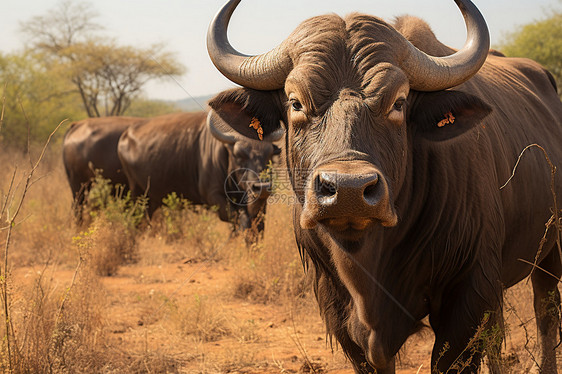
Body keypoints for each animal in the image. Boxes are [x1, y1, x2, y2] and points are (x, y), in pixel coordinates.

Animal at [117, 103, 280, 241]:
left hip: (152, 198)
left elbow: (258, 226)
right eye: (239, 154)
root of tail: (125, 136)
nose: (262, 187)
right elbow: (237, 219)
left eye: (269, 155)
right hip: (137, 194)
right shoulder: (214, 196)